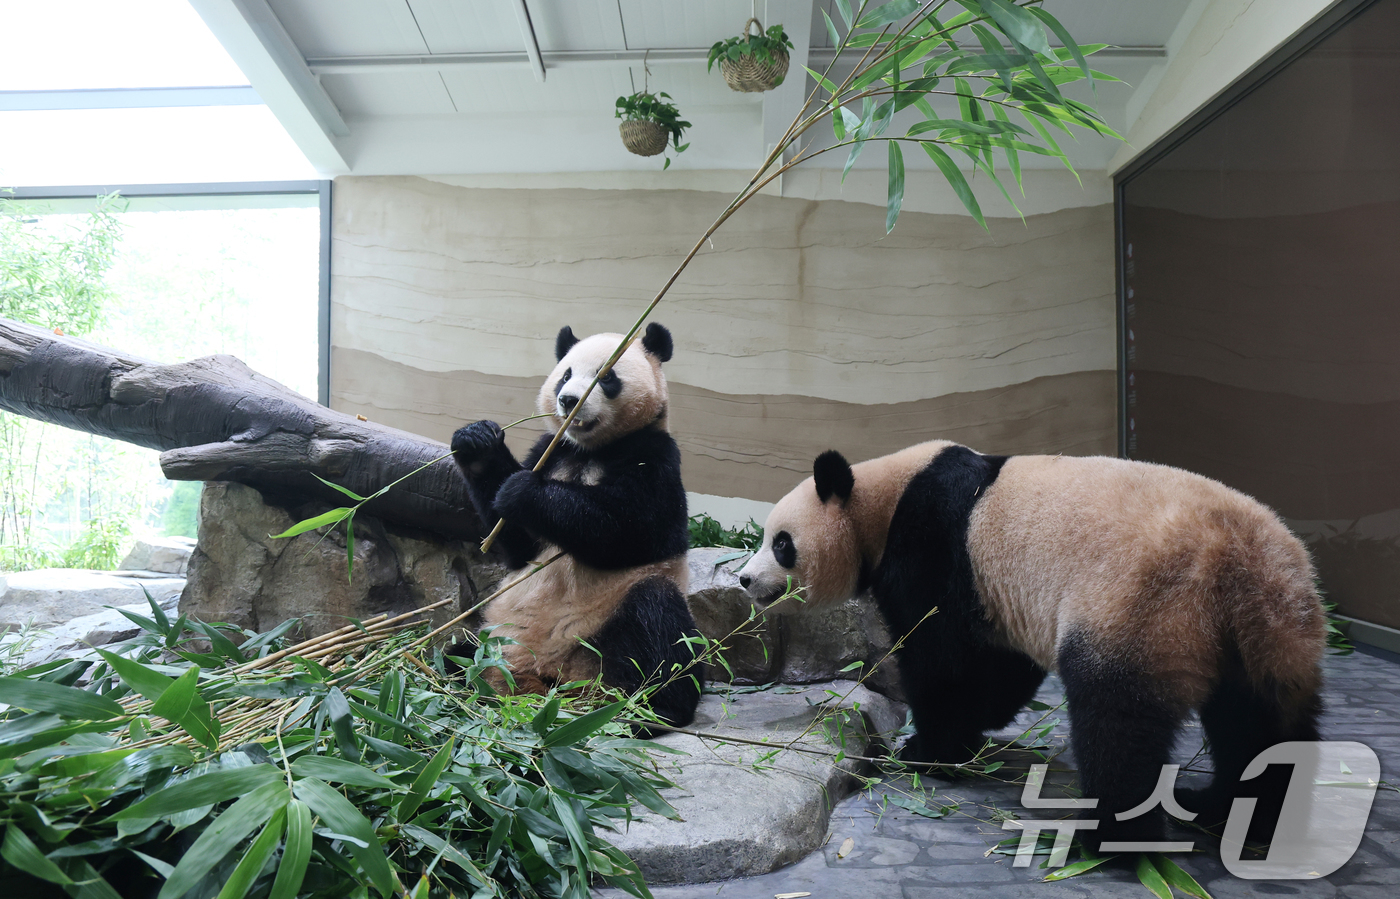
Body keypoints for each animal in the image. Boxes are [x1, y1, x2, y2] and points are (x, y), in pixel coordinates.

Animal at [450, 322, 702, 729]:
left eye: (606, 377)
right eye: (565, 375)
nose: (569, 400)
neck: (590, 449)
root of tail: (553, 682)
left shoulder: (656, 457)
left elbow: (631, 530)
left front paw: (525, 492)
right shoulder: (551, 450)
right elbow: (519, 547)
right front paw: (477, 442)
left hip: (611, 620)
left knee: (658, 623)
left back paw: (655, 710)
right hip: (494, 640)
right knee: (458, 651)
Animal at [736, 441, 1326, 849]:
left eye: (781, 543)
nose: (744, 580)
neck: (882, 497)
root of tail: (1233, 558)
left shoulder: (933, 543)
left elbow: (942, 659)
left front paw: (928, 751)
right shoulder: (993, 596)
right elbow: (999, 668)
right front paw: (970, 735)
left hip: (1146, 605)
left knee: (1117, 719)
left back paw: (1102, 838)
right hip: (1274, 628)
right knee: (1260, 725)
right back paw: (1235, 813)